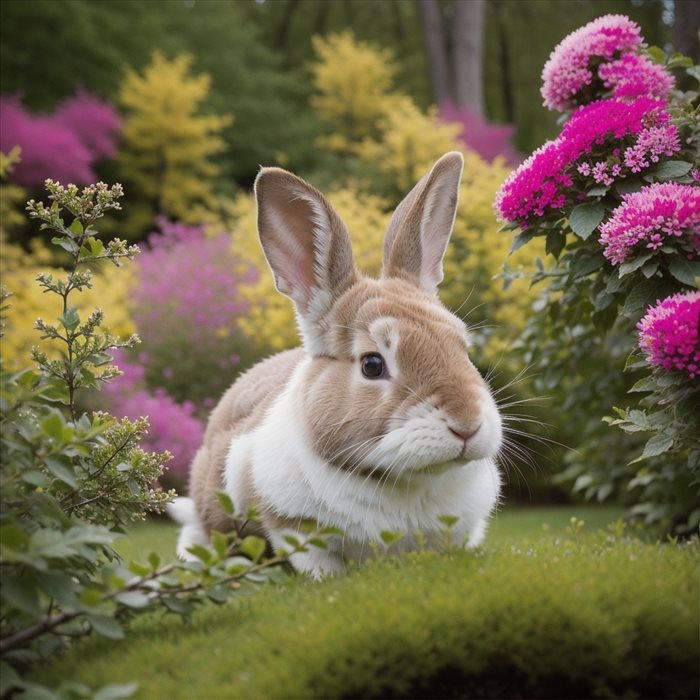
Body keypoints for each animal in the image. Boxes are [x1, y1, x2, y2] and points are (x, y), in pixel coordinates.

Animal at [170, 150, 504, 576]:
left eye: (463, 347)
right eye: (372, 365)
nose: (467, 426)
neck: (403, 482)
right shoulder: (290, 525)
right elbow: (317, 562)